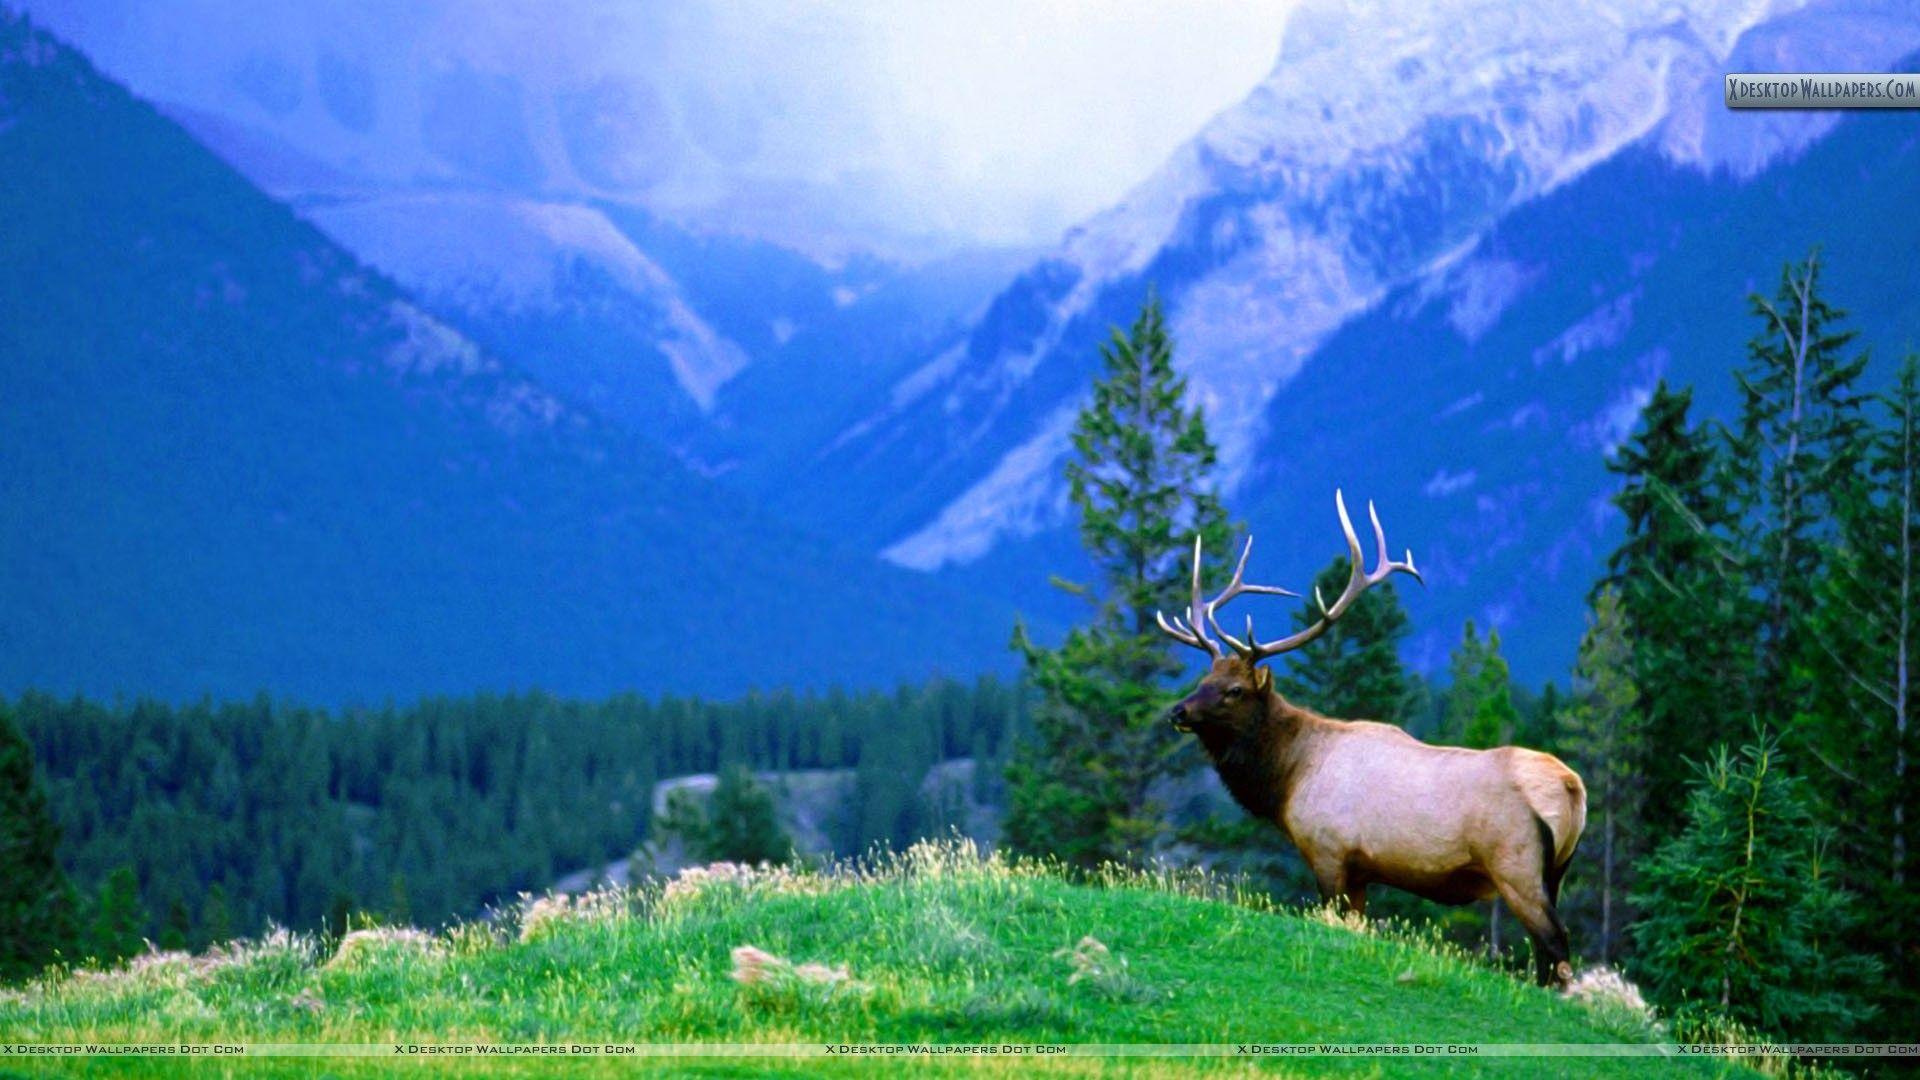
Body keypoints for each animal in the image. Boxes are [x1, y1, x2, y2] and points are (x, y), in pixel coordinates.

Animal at [1157, 492, 1586, 987]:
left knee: (1554, 942)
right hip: (1557, 872)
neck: (1288, 779)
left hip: (1516, 864)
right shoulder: (1361, 870)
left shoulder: (1329, 852)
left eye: (1234, 690)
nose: (1178, 711)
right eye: (1204, 678)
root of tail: (1572, 787)